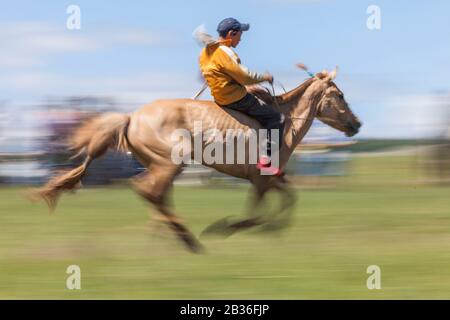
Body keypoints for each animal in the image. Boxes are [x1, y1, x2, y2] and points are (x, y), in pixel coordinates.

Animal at [29, 67, 362, 252]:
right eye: (340, 95)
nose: (356, 124)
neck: (283, 121)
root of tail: (131, 118)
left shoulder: (272, 179)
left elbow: (289, 199)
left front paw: (273, 230)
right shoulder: (260, 179)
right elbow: (255, 212)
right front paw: (224, 228)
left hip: (161, 166)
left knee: (157, 195)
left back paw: (175, 237)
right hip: (168, 164)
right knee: (148, 190)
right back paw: (189, 240)